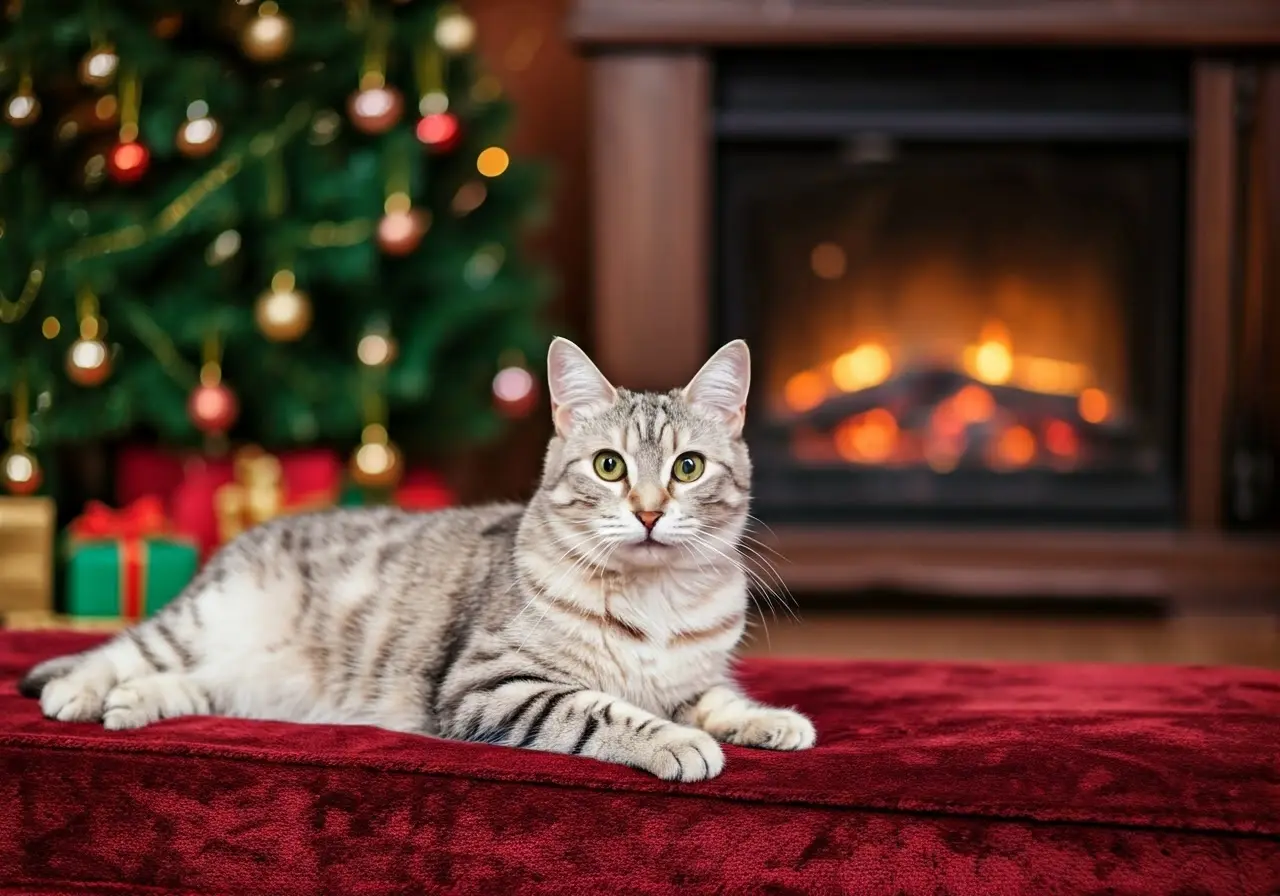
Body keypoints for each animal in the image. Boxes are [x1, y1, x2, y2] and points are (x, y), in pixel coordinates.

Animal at [20, 335, 814, 778]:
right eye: (610, 466)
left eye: (687, 468)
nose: (649, 512)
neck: (654, 600)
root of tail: (244, 535)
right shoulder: (494, 684)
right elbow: (608, 713)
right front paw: (678, 743)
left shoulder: (691, 678)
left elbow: (718, 699)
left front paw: (771, 720)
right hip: (202, 623)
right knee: (117, 652)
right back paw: (81, 693)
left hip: (244, 682)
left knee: (185, 684)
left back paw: (131, 706)